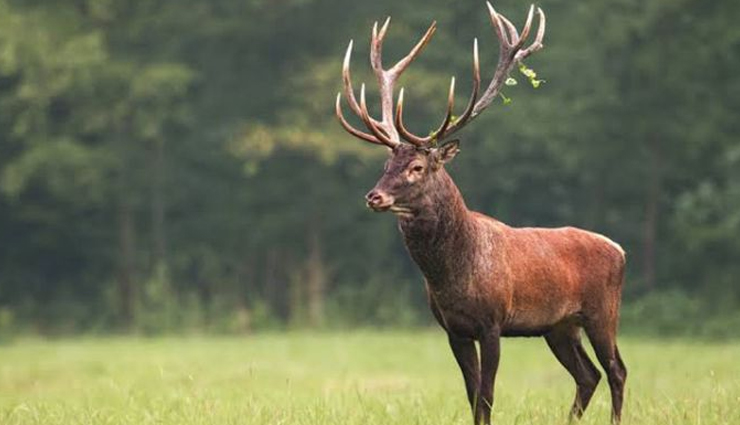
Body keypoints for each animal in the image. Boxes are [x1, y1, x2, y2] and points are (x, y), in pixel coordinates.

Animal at [335, 3, 627, 425]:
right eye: (386, 164)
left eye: (417, 167)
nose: (374, 197)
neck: (453, 275)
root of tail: (620, 249)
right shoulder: (454, 329)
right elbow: (472, 395)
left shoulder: (493, 322)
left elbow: (487, 395)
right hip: (559, 326)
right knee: (588, 375)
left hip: (603, 311)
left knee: (616, 370)